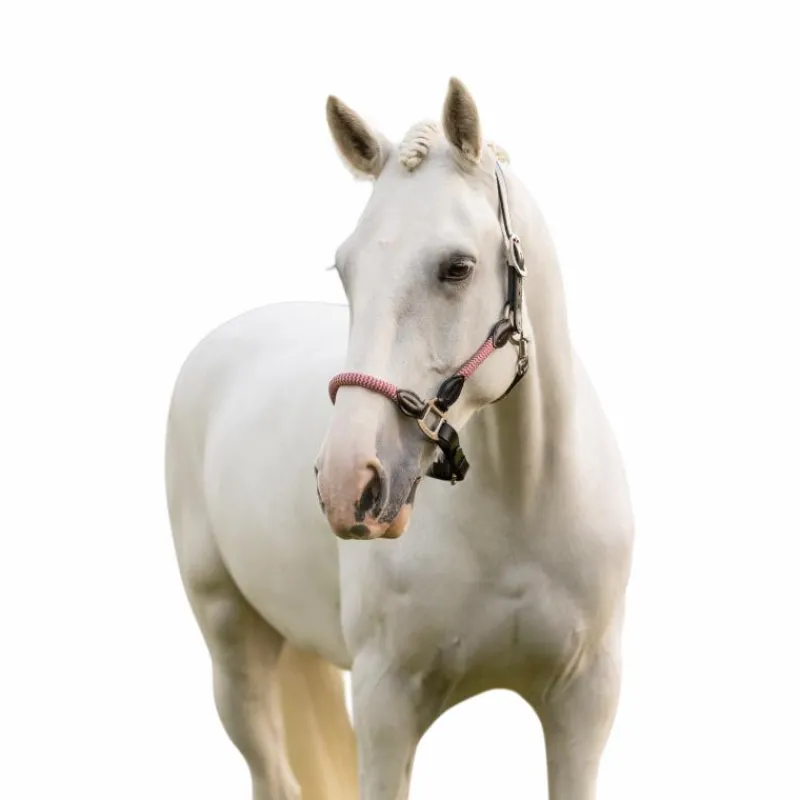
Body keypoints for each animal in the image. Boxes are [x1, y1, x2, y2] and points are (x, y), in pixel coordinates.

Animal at [164, 77, 635, 800]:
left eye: (457, 267)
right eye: (345, 269)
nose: (347, 482)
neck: (522, 507)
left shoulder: (585, 701)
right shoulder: (386, 705)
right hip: (233, 647)